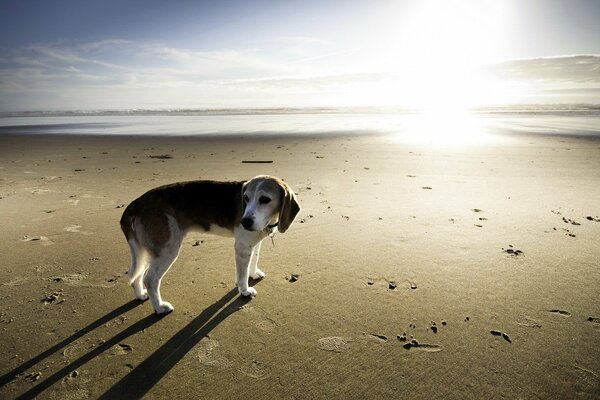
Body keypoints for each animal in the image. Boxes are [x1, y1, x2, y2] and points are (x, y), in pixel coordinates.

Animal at [119, 177, 300, 314]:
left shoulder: (253, 244)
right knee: (150, 279)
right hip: (166, 250)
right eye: (246, 199)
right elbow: (242, 275)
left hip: (146, 252)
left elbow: (253, 261)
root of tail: (136, 203)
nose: (245, 222)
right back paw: (159, 307)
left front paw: (253, 274)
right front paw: (244, 291)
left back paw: (141, 295)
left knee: (137, 275)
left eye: (265, 200)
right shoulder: (242, 247)